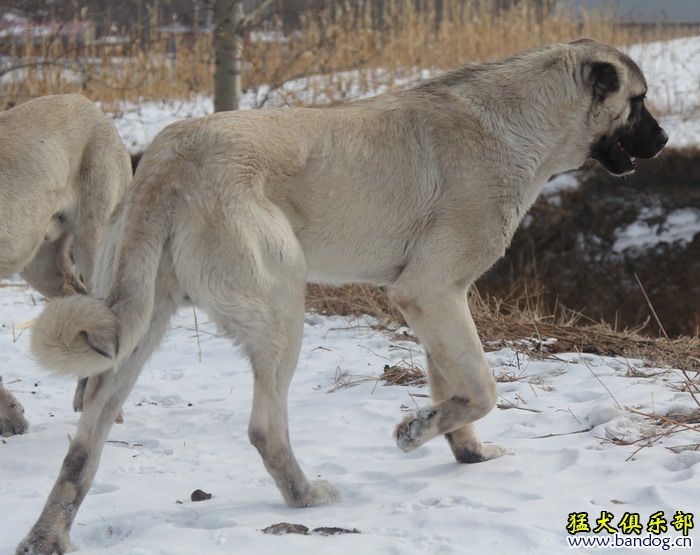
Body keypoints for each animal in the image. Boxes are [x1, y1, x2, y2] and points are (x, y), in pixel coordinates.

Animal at [20, 41, 668, 552]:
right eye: (638, 102)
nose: (663, 140)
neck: (522, 120)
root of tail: (168, 160)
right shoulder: (431, 290)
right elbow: (482, 389)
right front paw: (415, 432)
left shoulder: (435, 301)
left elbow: (453, 386)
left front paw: (464, 450)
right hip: (283, 305)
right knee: (265, 428)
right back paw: (306, 495)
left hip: (136, 329)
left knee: (83, 446)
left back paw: (46, 536)